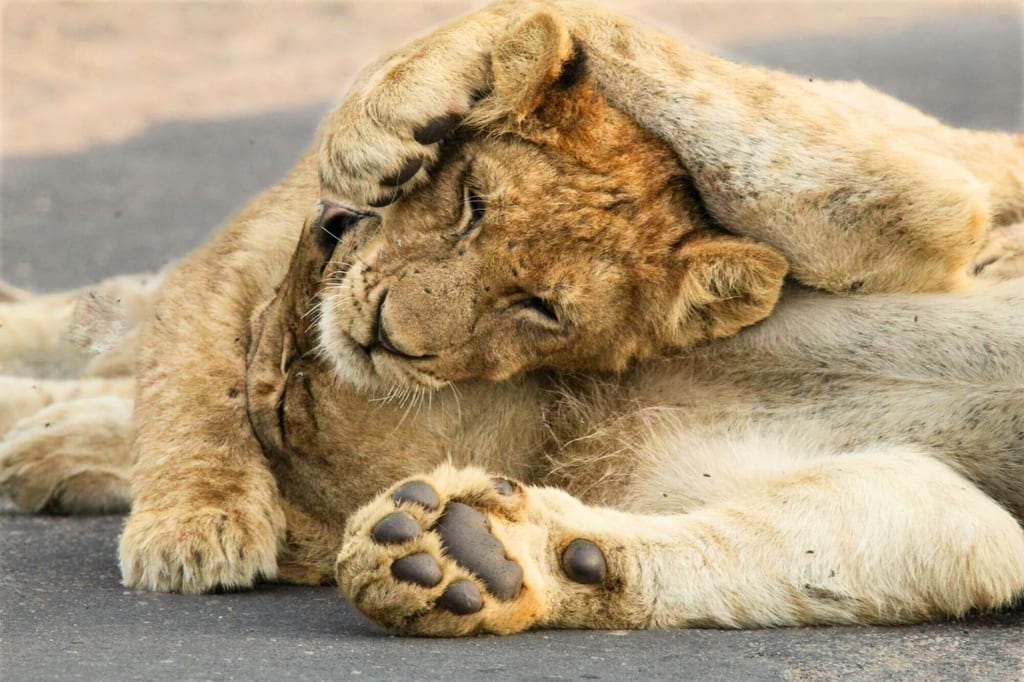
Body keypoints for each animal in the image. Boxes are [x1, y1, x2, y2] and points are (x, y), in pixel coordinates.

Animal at [2, 0, 1024, 636]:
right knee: (130, 311)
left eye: (539, 307)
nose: (381, 327)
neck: (570, 406)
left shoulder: (933, 502)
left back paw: (48, 445)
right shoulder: (925, 206)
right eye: (471, 203)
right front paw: (410, 104)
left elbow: (913, 528)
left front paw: (475, 558)